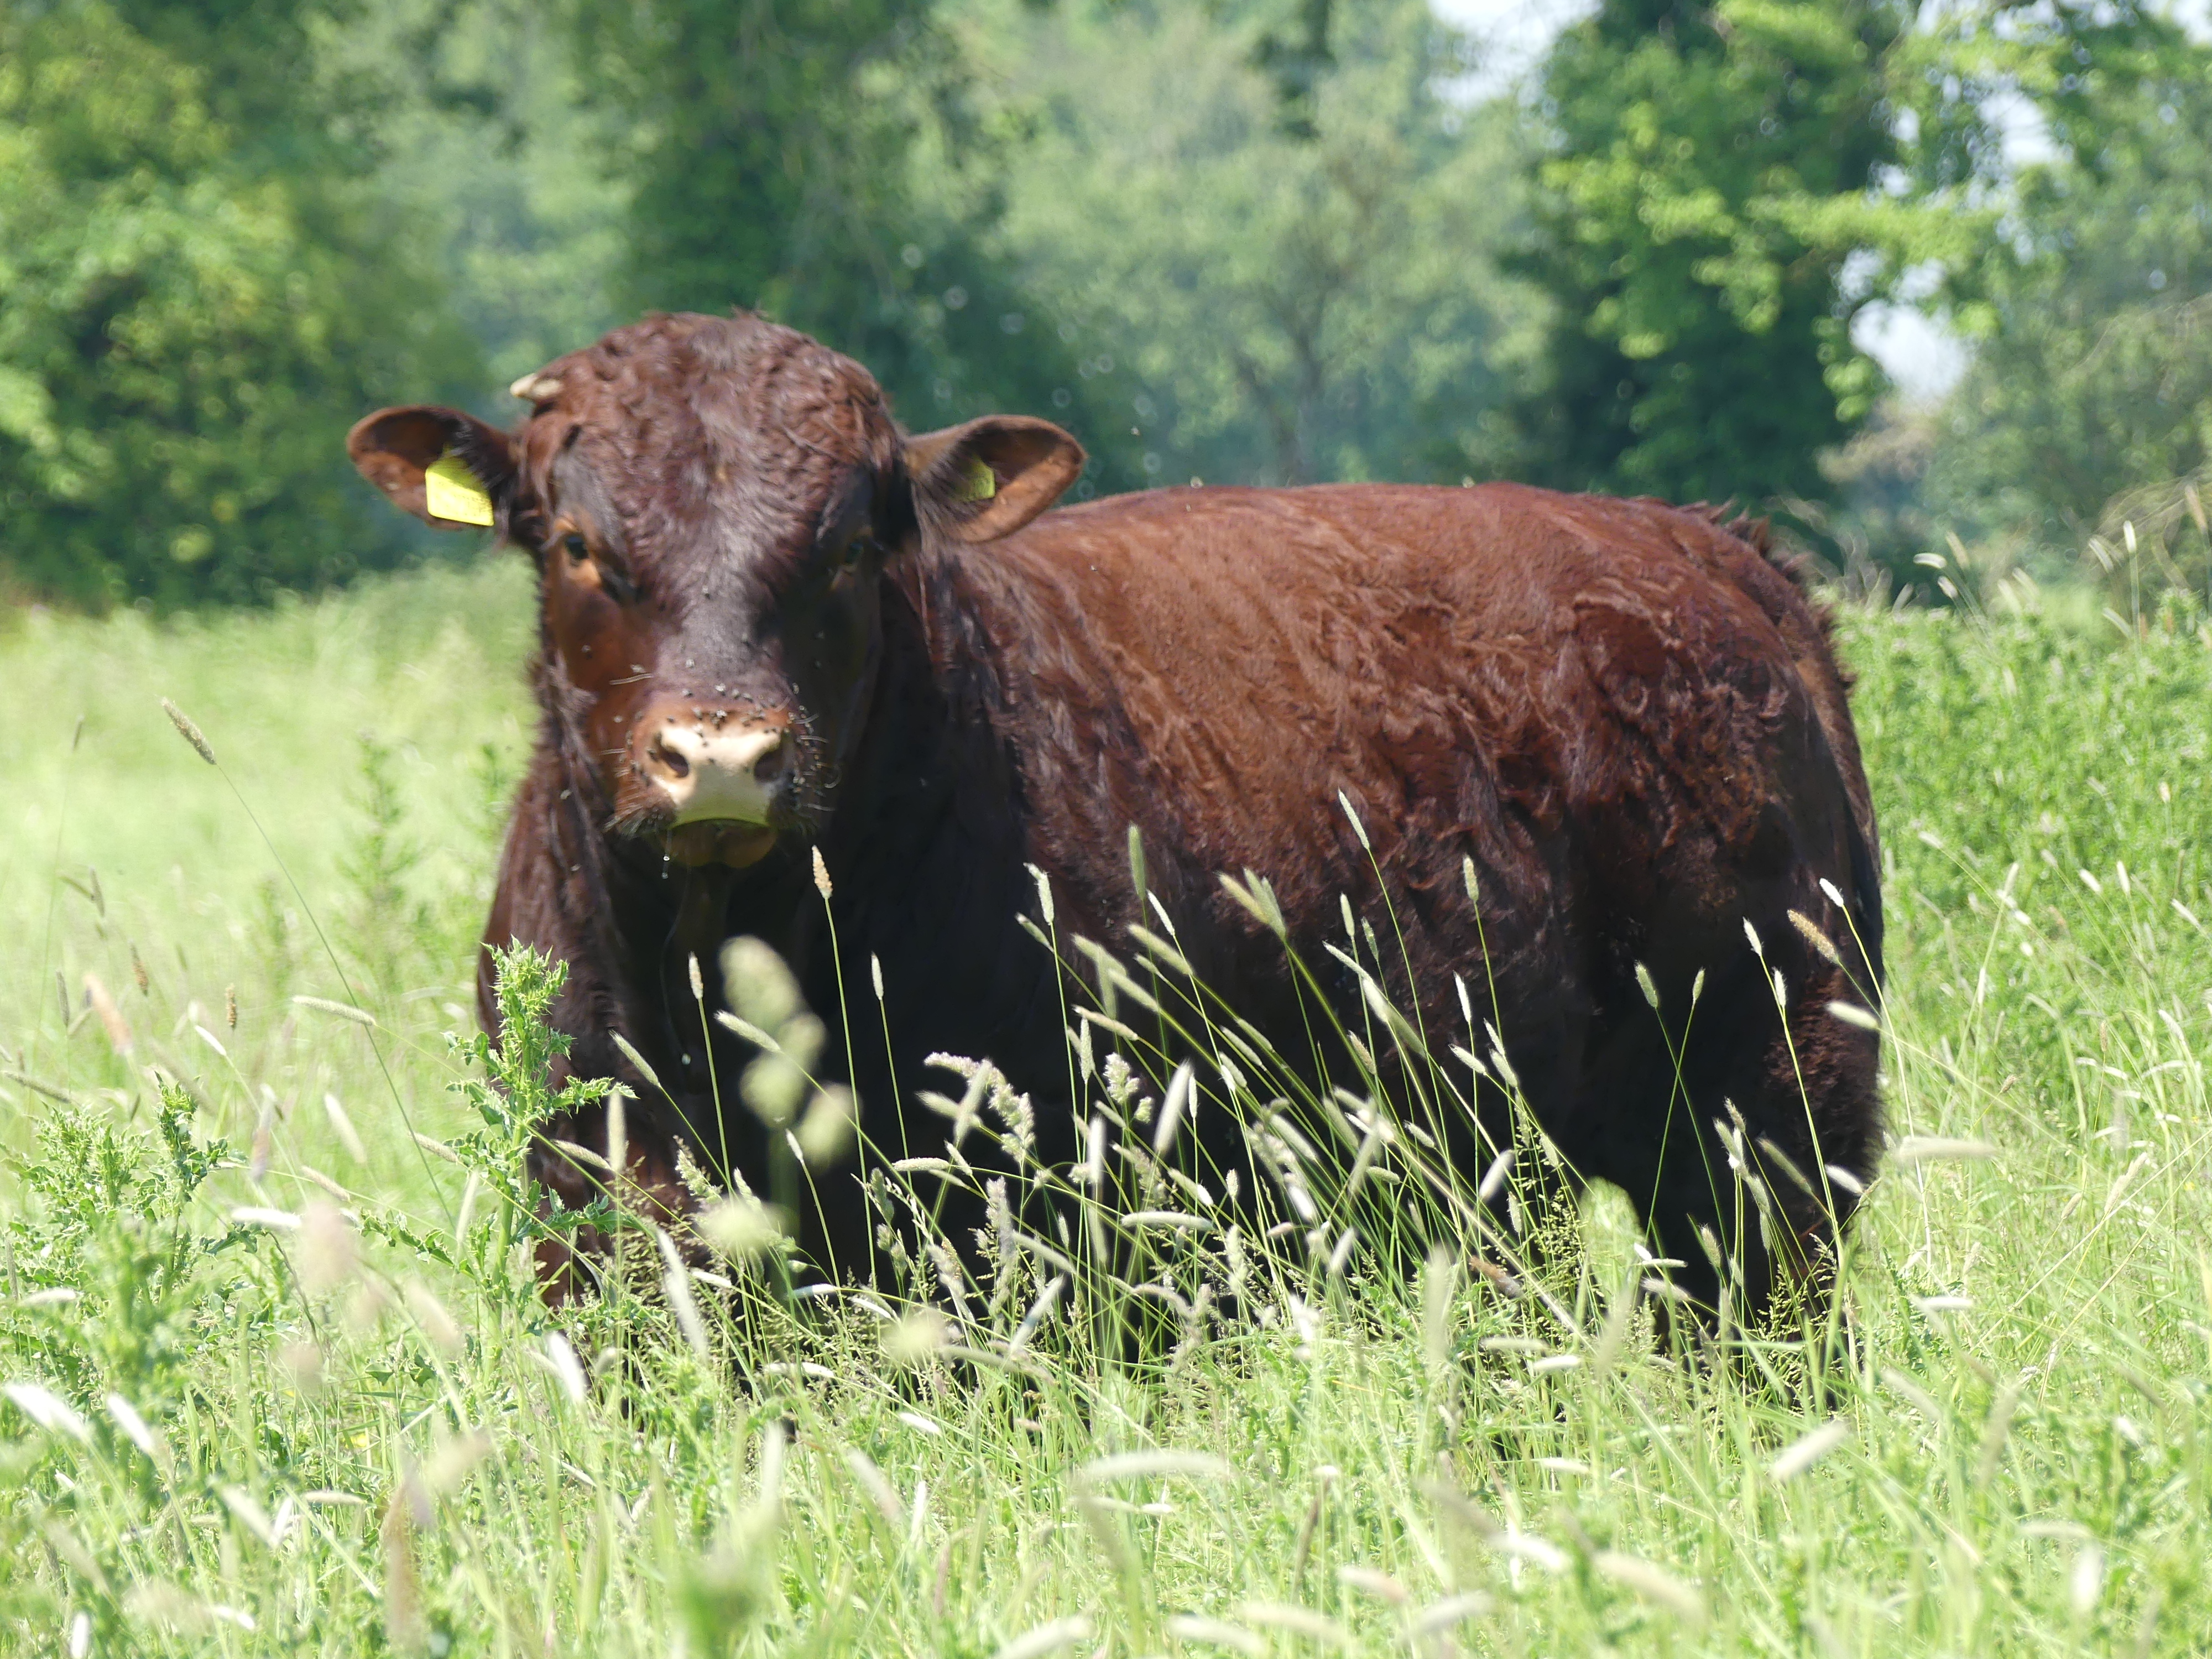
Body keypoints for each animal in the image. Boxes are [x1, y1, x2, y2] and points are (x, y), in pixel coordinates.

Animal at [349, 312, 1885, 1327]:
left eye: (847, 546)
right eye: (576, 544)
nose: (720, 757)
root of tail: (1706, 545)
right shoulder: (596, 1207)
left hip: (1772, 1109)